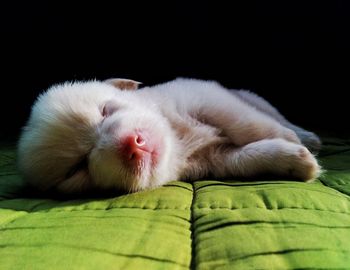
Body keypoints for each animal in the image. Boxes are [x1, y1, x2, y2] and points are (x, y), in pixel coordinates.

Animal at [17, 78, 322, 194]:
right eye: (77, 168)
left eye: (104, 111)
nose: (132, 145)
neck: (178, 141)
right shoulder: (216, 160)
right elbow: (246, 157)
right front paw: (295, 160)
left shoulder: (207, 97)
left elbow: (245, 124)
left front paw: (291, 140)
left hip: (252, 98)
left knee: (272, 115)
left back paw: (307, 135)